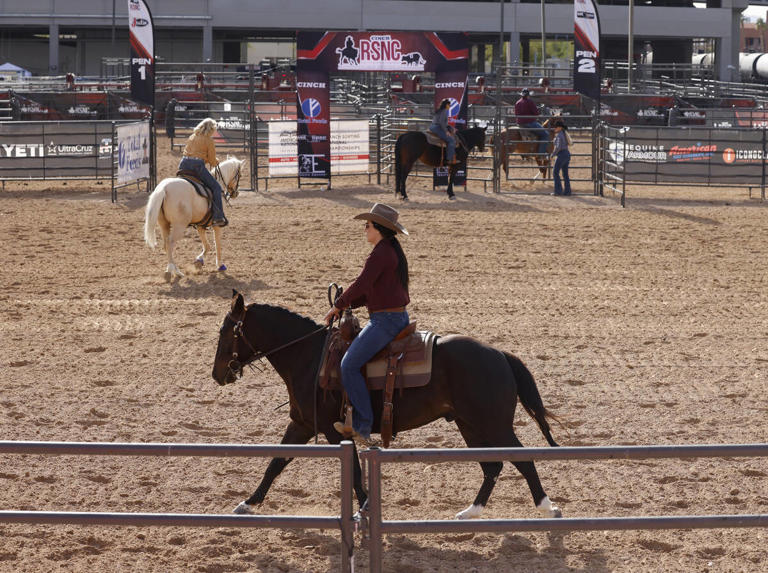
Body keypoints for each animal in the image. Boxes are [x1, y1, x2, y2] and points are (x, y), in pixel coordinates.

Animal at [212, 290, 564, 520]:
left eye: (226, 331)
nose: (217, 374)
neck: (309, 357)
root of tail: (499, 354)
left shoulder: (333, 431)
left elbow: (354, 473)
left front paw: (365, 509)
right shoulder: (302, 424)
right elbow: (276, 462)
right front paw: (248, 503)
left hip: (494, 424)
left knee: (521, 460)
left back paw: (548, 507)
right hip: (471, 425)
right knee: (493, 466)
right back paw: (470, 512)